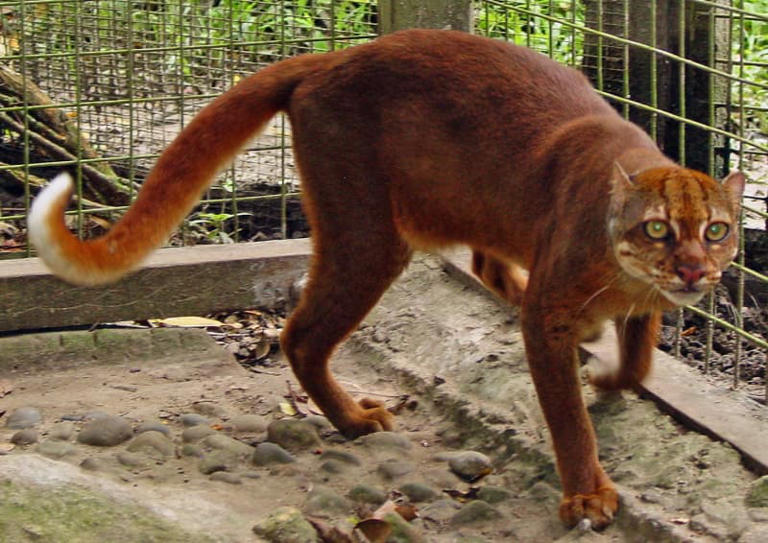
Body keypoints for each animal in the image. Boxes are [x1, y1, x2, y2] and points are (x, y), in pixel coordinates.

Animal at [30, 30, 744, 532]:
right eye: (658, 229)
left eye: (717, 230)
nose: (694, 269)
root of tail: (331, 58)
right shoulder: (549, 316)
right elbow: (568, 416)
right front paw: (587, 495)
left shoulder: (639, 301)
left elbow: (642, 352)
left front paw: (613, 374)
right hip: (369, 233)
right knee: (301, 334)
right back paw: (353, 419)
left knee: (482, 266)